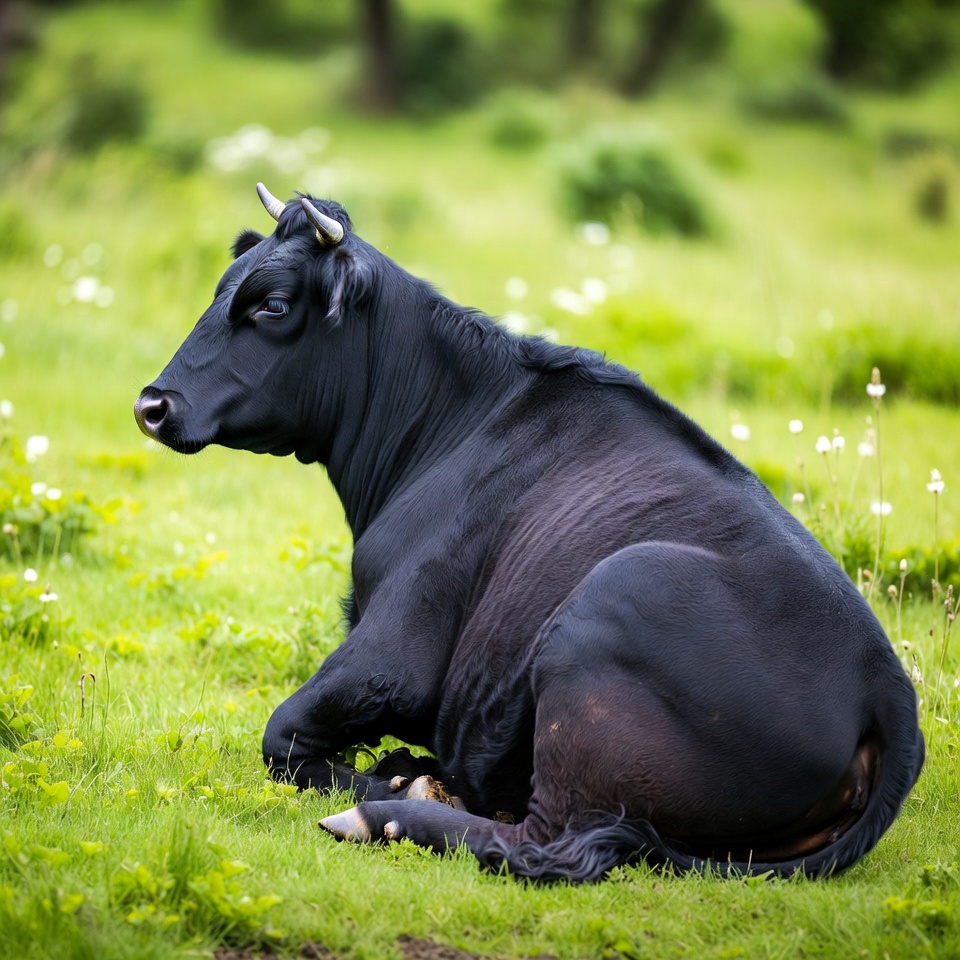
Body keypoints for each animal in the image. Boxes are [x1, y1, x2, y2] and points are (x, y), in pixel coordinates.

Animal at [134, 183, 924, 882]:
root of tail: (889, 693)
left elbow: (280, 736)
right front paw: (402, 769)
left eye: (271, 305)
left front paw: (386, 782)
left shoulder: (393, 652)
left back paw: (392, 813)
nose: (152, 405)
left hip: (604, 617)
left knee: (548, 844)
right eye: (220, 291)